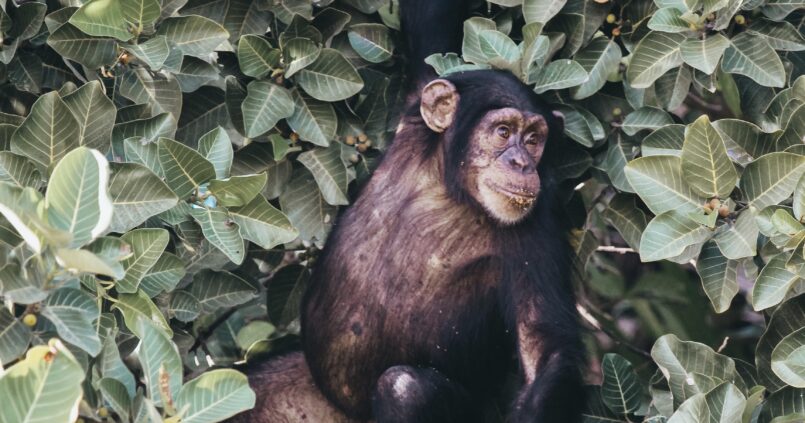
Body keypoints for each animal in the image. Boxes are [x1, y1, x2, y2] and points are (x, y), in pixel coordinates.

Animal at [231, 1, 585, 422]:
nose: (521, 163)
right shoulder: (420, 103)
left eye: (533, 139)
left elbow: (544, 348)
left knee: (406, 389)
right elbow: (432, 26)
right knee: (248, 389)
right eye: (503, 132)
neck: (448, 189)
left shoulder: (537, 226)